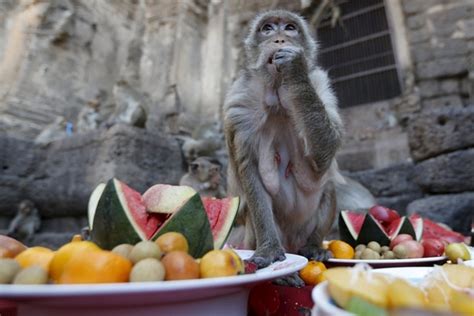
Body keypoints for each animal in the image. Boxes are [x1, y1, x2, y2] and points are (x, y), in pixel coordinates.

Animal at [224, 9, 342, 272]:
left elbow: (326, 152)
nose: (279, 39)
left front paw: (295, 69)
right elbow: (249, 169)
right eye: (267, 28)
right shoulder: (240, 101)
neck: (278, 92)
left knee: (328, 184)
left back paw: (314, 246)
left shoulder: (319, 84)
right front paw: (269, 248)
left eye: (290, 28)